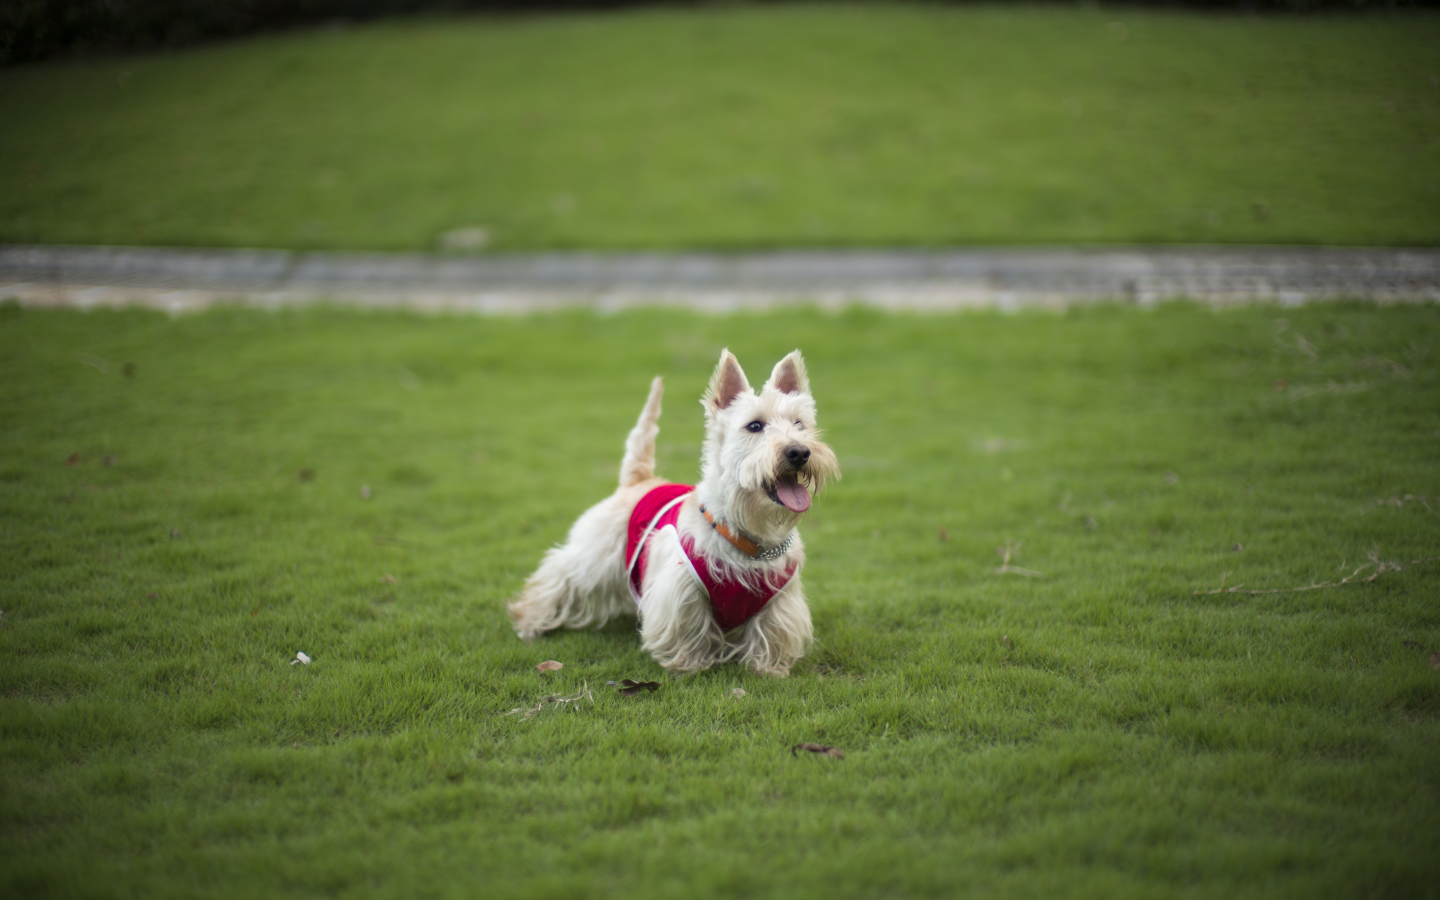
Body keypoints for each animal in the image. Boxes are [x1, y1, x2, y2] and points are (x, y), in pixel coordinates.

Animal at [509, 349, 840, 673]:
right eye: (755, 426)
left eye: (799, 424)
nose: (799, 452)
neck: (748, 534)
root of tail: (640, 479)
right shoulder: (681, 590)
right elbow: (688, 628)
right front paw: (691, 665)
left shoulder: (779, 599)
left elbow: (769, 632)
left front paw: (766, 668)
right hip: (593, 557)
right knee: (556, 577)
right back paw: (528, 621)